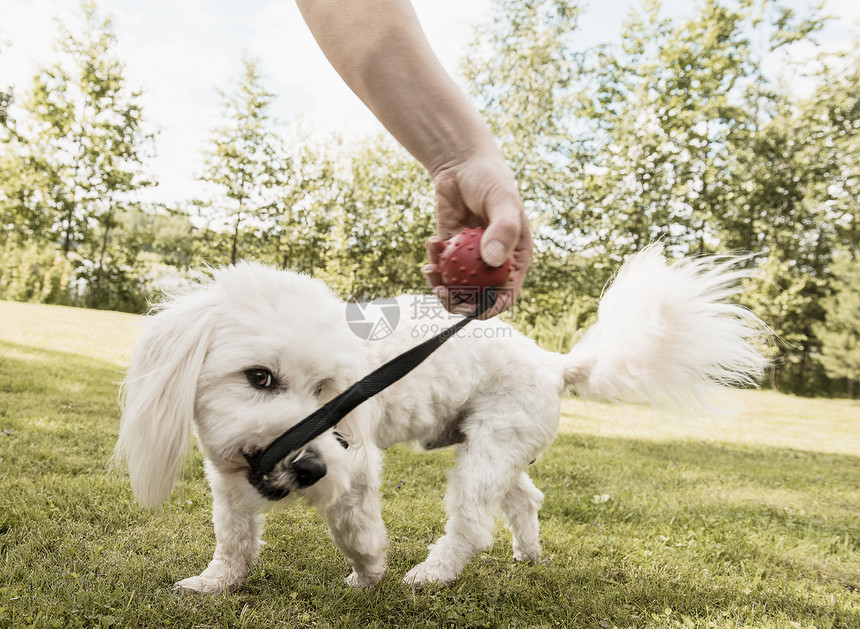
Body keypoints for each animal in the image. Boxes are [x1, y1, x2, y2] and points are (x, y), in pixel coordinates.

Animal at [114, 248, 764, 592]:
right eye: (259, 377)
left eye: (328, 390)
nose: (310, 467)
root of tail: (556, 364)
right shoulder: (226, 475)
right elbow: (234, 536)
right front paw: (215, 583)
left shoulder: (356, 467)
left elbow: (356, 530)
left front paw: (368, 573)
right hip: (503, 448)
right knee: (526, 498)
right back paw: (528, 553)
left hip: (487, 453)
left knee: (473, 525)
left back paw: (432, 573)